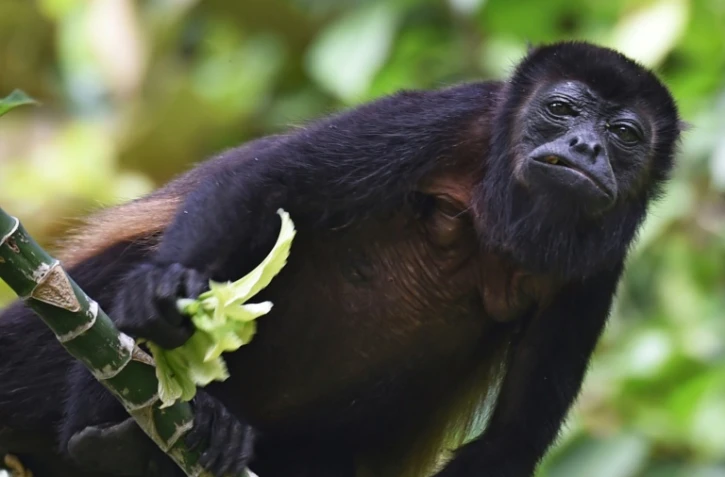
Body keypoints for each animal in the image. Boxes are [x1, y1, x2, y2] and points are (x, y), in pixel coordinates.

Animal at [0, 41, 683, 477]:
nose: (587, 146)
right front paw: (164, 288)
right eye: (561, 109)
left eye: (625, 135)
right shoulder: (451, 118)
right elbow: (266, 183)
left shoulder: (596, 273)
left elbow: (511, 441)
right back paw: (112, 437)